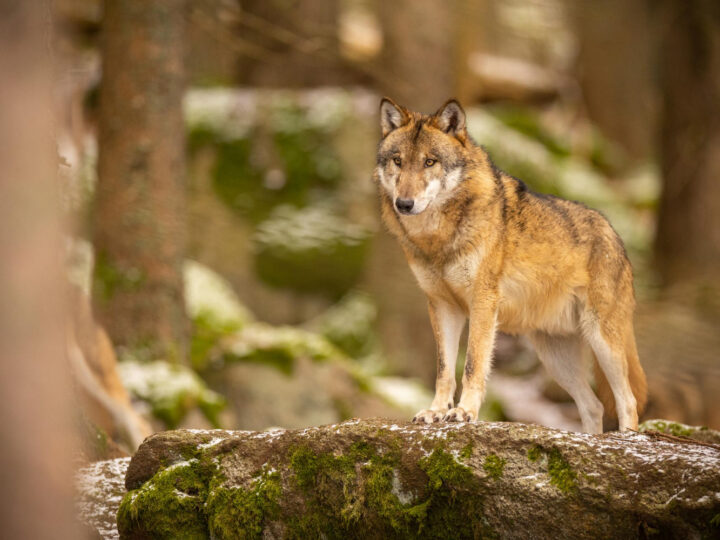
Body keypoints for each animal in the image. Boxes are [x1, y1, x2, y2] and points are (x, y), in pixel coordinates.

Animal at [374, 98, 648, 434]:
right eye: (398, 161)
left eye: (430, 162)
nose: (404, 204)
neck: (438, 238)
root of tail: (615, 234)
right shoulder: (442, 306)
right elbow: (444, 369)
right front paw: (436, 411)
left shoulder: (483, 302)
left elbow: (473, 364)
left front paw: (464, 412)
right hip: (556, 358)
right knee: (593, 405)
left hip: (602, 340)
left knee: (628, 401)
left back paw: (626, 439)